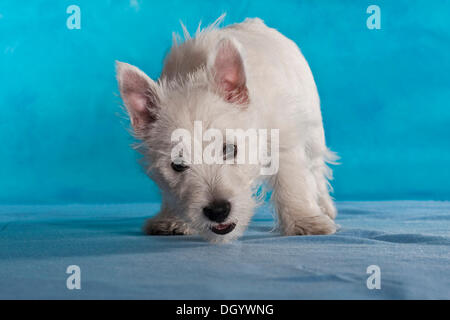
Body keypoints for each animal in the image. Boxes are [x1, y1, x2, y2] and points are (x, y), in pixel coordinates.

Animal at [116, 15, 338, 242]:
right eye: (177, 164)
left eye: (230, 149)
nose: (217, 211)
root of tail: (255, 23)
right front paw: (171, 219)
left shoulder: (283, 135)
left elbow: (292, 179)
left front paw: (305, 220)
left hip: (313, 127)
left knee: (317, 168)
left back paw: (325, 206)